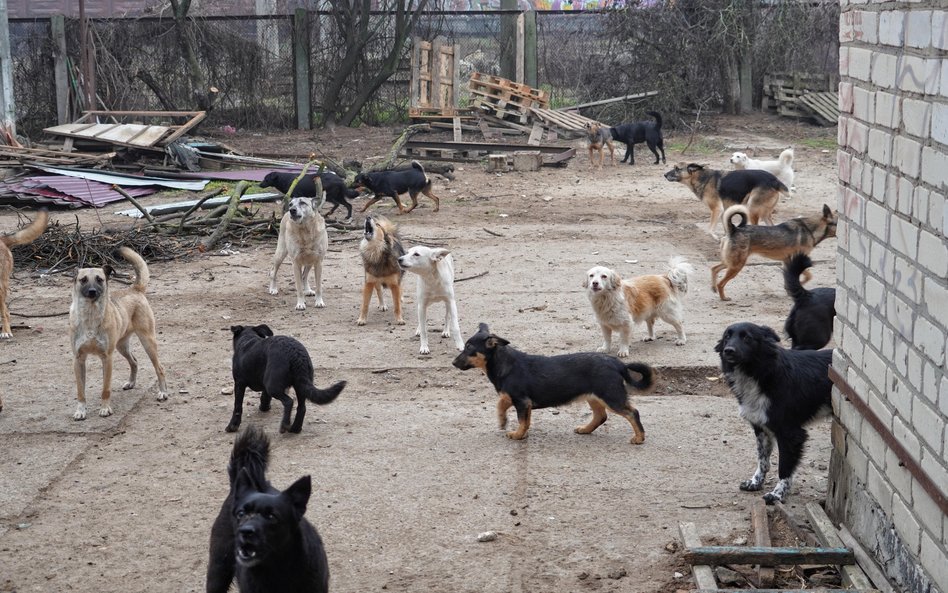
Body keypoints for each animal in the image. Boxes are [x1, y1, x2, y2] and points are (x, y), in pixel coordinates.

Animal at [69, 247, 168, 418]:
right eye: (83, 280)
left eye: (100, 279)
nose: (92, 291)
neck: (90, 315)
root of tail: (134, 288)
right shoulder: (78, 359)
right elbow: (80, 391)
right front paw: (80, 411)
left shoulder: (107, 358)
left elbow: (105, 388)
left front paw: (105, 408)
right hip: (122, 346)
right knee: (134, 361)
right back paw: (131, 383)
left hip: (147, 342)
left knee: (159, 368)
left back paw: (162, 392)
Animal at [452, 322, 652, 442]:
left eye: (469, 348)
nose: (453, 363)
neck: (503, 363)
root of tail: (617, 363)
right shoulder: (517, 400)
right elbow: (503, 405)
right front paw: (504, 422)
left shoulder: (522, 401)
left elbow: (521, 420)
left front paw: (517, 434)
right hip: (594, 396)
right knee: (600, 416)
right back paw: (586, 429)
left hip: (611, 396)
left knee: (632, 413)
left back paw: (639, 438)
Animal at [716, 322, 832, 502]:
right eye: (727, 336)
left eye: (747, 338)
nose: (728, 350)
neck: (759, 373)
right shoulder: (761, 426)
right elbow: (762, 460)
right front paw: (755, 482)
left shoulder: (790, 433)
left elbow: (784, 467)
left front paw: (778, 493)